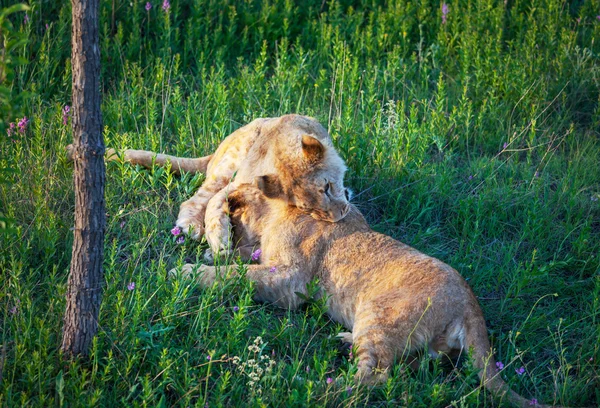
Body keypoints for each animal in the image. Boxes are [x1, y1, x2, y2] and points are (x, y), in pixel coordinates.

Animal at [67, 113, 352, 258]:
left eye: (327, 187)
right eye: (308, 207)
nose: (341, 216)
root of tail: (216, 149)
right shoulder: (240, 180)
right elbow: (215, 203)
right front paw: (220, 241)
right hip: (227, 164)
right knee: (196, 199)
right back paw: (190, 228)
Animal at [171, 182, 556, 408]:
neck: (279, 210)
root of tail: (470, 304)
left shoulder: (291, 279)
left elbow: (238, 276)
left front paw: (187, 272)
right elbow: (239, 268)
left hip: (378, 313)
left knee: (374, 378)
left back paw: (300, 382)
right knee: (405, 367)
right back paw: (343, 342)